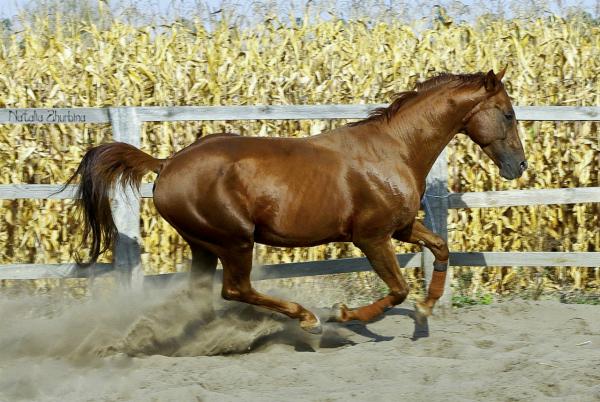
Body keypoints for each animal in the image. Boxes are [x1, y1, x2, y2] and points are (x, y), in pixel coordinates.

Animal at [67, 69, 524, 332]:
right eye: (508, 113)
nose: (518, 166)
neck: (393, 150)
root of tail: (166, 164)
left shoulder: (402, 227)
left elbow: (441, 247)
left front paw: (427, 308)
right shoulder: (372, 237)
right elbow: (396, 289)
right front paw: (345, 315)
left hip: (204, 245)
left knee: (201, 291)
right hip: (235, 240)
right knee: (235, 289)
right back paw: (307, 319)